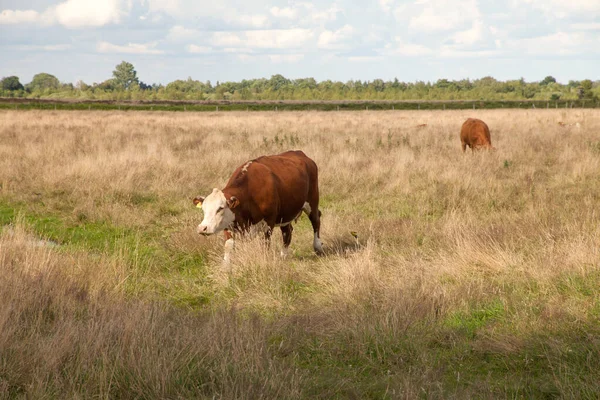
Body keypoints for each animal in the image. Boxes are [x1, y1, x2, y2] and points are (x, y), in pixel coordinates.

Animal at [192, 150, 324, 262]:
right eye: (203, 209)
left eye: (220, 208)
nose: (202, 228)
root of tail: (300, 153)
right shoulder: (229, 225)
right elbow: (228, 247)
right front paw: (226, 268)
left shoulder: (268, 223)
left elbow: (264, 245)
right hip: (286, 213)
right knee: (287, 232)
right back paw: (283, 256)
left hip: (312, 201)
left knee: (316, 220)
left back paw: (318, 247)